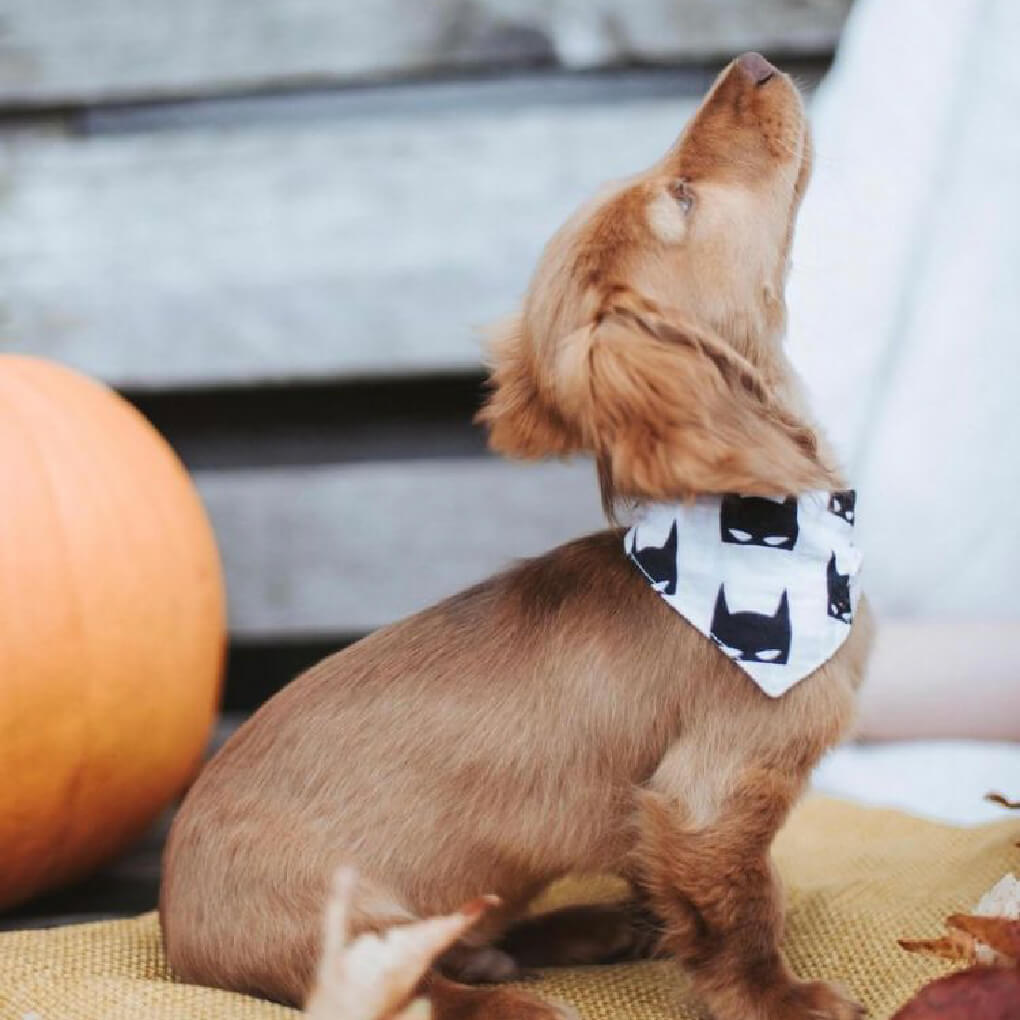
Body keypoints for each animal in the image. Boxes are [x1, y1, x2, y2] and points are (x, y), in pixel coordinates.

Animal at [159, 53, 869, 1020]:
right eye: (682, 195)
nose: (753, 64)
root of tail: (171, 936)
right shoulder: (712, 794)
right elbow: (742, 912)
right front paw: (782, 998)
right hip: (349, 923)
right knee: (411, 989)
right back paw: (513, 998)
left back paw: (581, 931)